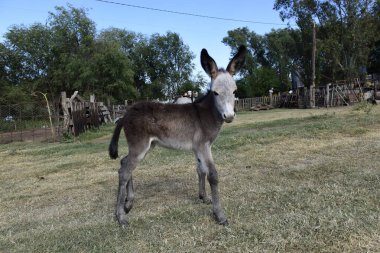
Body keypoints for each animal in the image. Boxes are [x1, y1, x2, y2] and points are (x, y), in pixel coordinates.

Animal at [108, 45, 248, 225]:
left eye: (235, 91)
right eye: (215, 93)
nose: (229, 116)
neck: (206, 113)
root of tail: (126, 113)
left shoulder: (198, 148)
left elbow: (200, 170)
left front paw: (203, 197)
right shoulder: (203, 146)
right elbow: (213, 175)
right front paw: (219, 215)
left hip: (145, 146)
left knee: (124, 162)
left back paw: (129, 202)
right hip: (140, 146)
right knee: (124, 171)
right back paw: (120, 216)